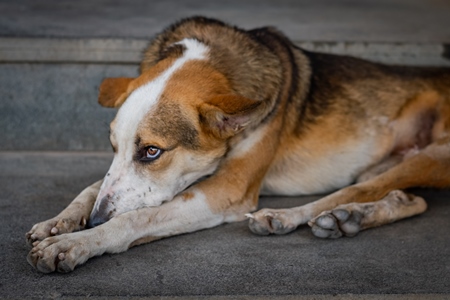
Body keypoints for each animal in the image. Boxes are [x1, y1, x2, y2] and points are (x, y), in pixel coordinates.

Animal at [25, 17, 450, 274]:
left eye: (152, 151)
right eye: (113, 146)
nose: (96, 220)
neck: (216, 57)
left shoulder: (226, 190)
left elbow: (134, 217)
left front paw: (78, 242)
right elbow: (94, 187)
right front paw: (61, 221)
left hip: (432, 155)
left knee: (353, 191)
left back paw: (290, 218)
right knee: (410, 199)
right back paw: (355, 218)